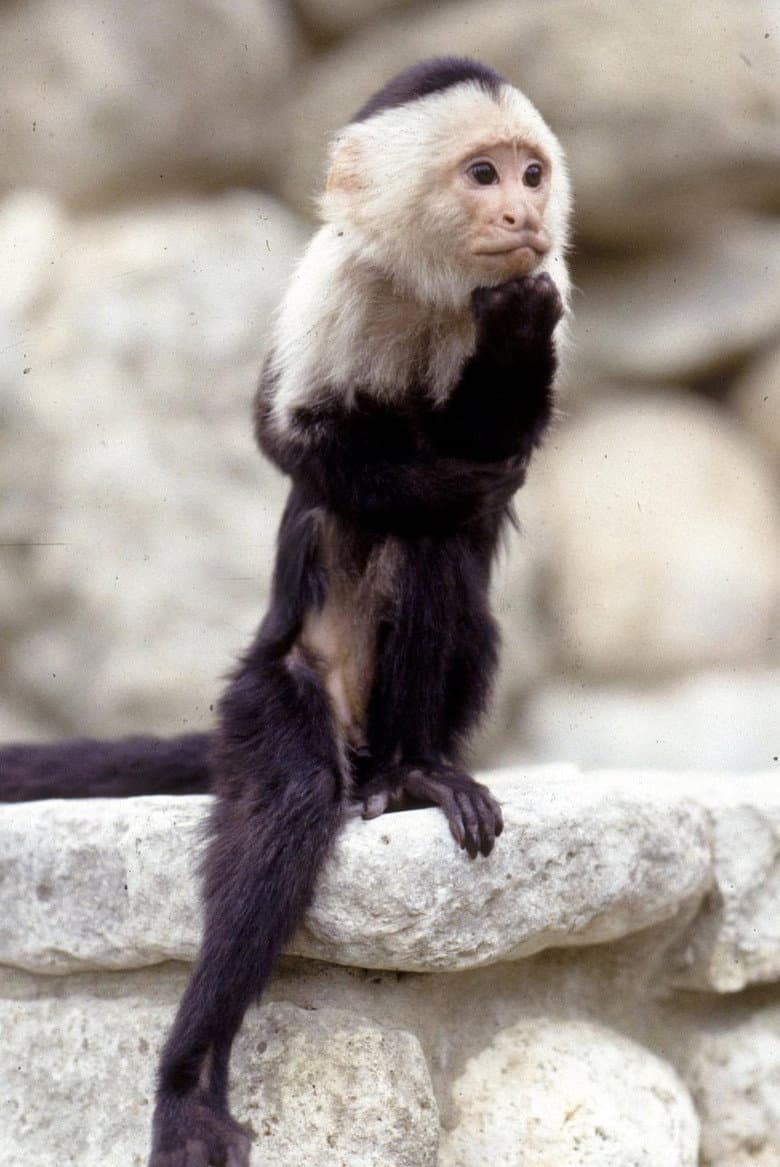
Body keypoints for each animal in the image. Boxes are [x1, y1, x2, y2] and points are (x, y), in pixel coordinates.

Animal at [0, 56, 571, 1166]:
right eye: (483, 174)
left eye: (532, 173)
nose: (522, 211)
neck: (433, 293)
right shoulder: (331, 287)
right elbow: (293, 440)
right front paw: (422, 459)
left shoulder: (557, 284)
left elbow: (497, 452)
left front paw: (511, 335)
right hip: (272, 692)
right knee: (293, 798)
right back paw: (187, 1080)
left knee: (438, 572)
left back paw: (415, 770)